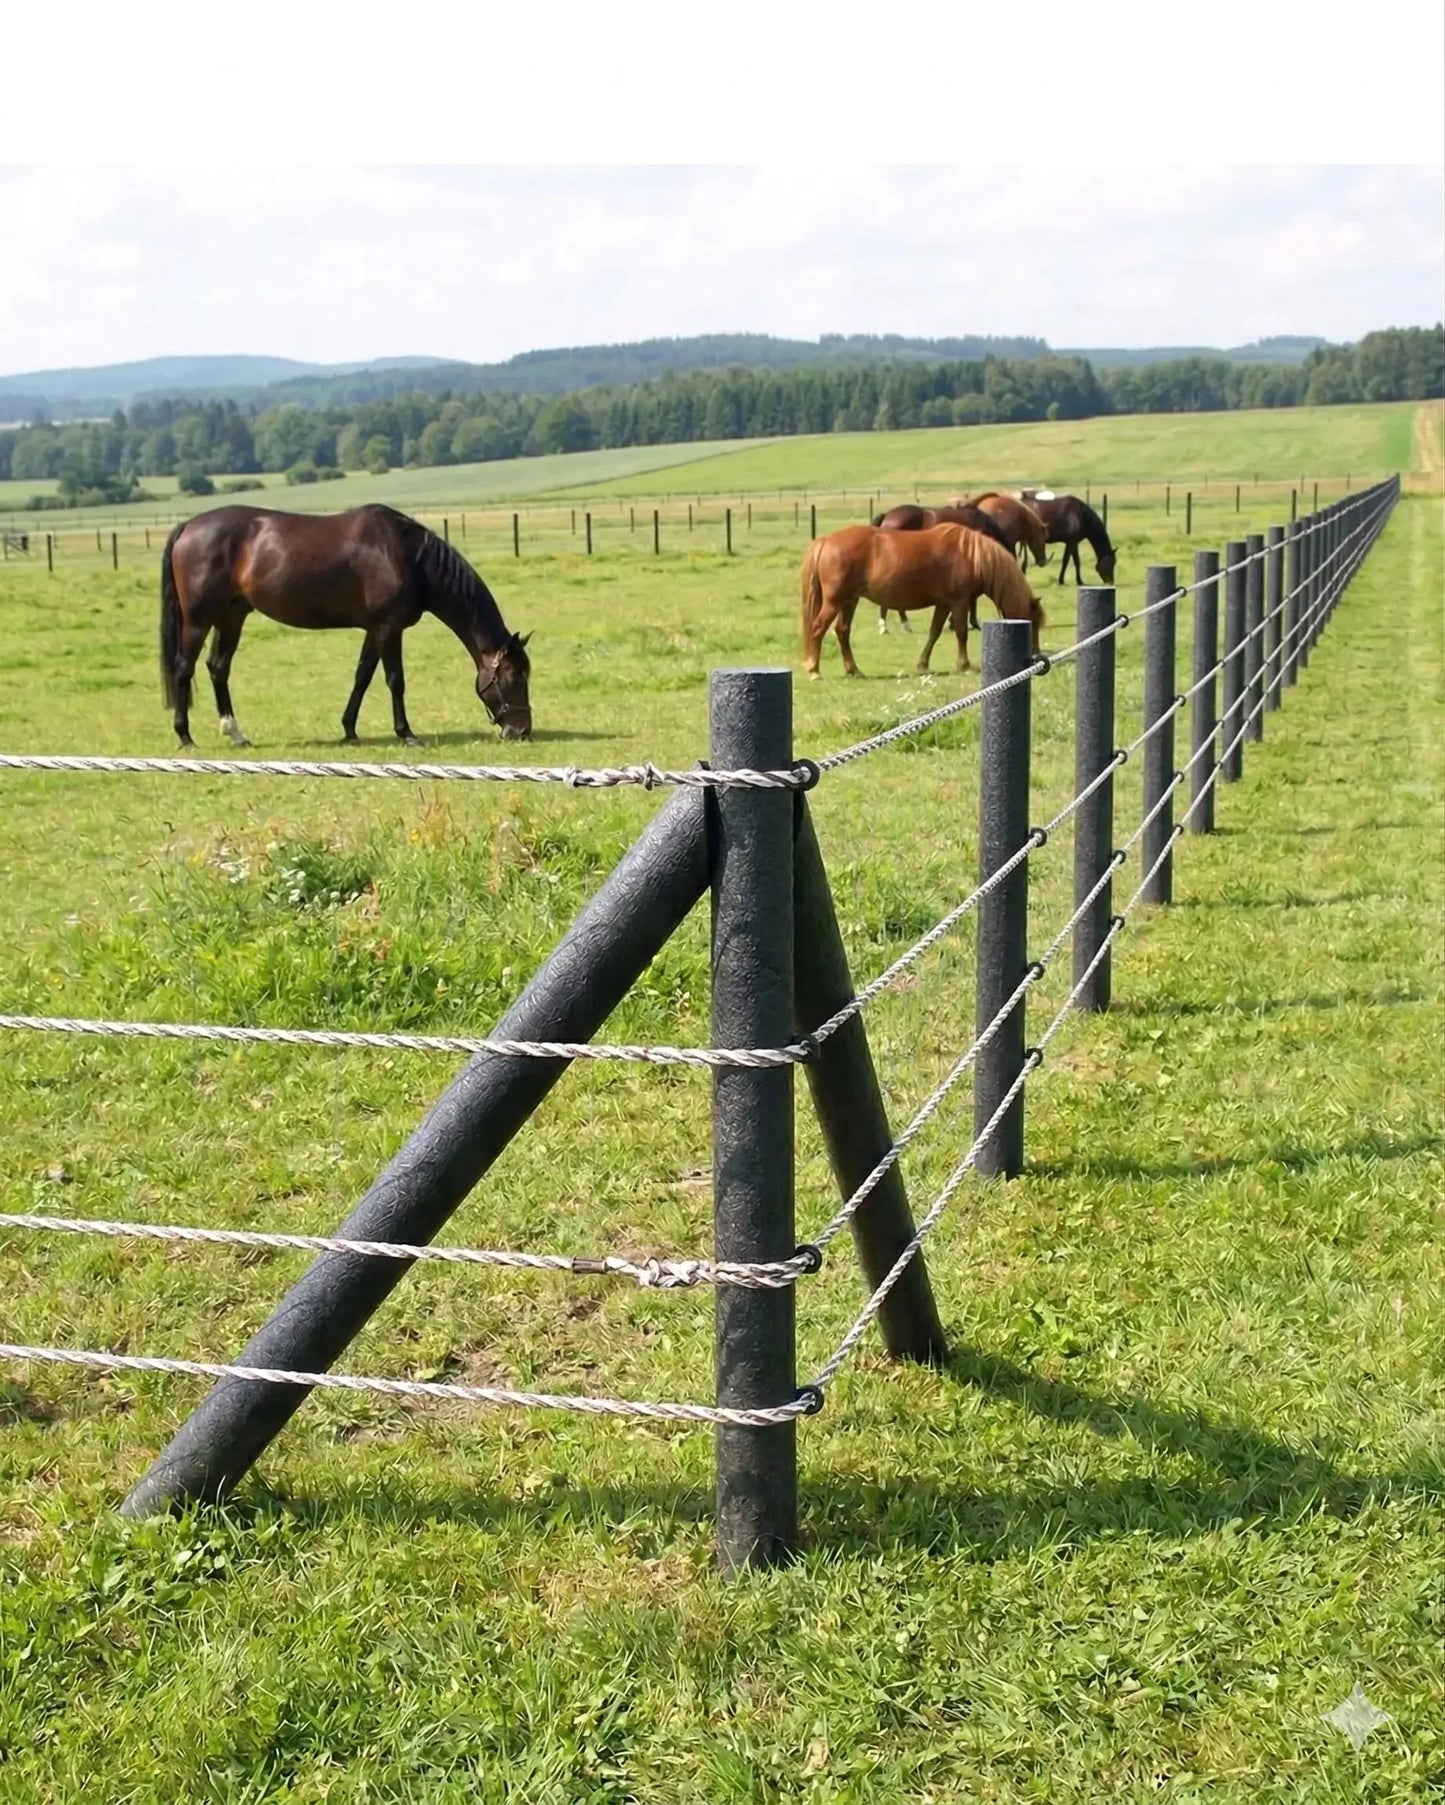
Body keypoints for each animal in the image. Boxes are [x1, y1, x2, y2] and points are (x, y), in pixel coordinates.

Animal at [159, 504, 533, 748]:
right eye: (513, 676)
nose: (522, 731)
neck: (408, 556)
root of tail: (188, 526)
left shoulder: (374, 630)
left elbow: (362, 676)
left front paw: (349, 730)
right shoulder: (389, 629)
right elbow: (395, 681)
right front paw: (406, 733)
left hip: (231, 616)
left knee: (217, 667)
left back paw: (235, 733)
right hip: (198, 620)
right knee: (184, 668)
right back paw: (184, 736)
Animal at [800, 524, 1044, 679]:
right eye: (1032, 625)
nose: (1036, 660)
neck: (973, 555)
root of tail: (826, 541)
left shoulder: (944, 604)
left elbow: (934, 632)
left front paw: (923, 665)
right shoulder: (959, 602)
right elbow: (961, 632)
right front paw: (964, 665)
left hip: (849, 601)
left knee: (842, 631)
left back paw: (854, 670)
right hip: (835, 601)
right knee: (818, 628)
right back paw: (814, 671)